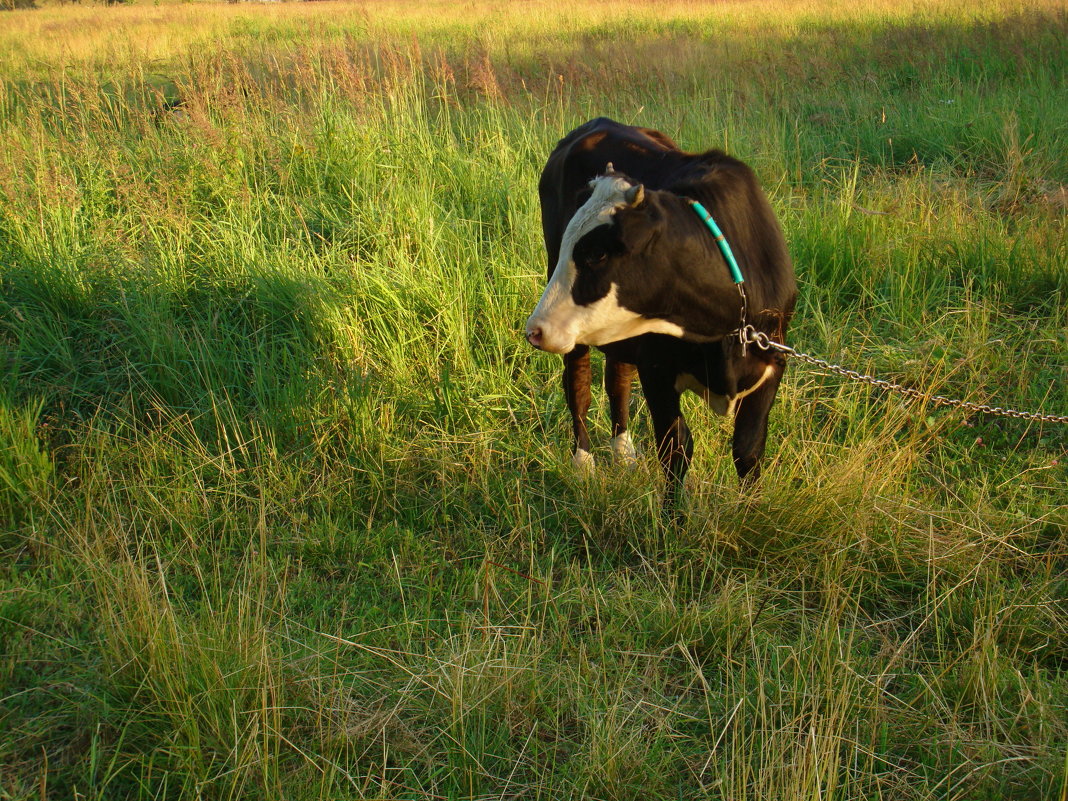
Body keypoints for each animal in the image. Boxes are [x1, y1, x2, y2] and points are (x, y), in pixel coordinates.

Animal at [529, 117, 798, 501]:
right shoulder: (656, 369)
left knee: (617, 379)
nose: (534, 330)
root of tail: (597, 124)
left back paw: (623, 454)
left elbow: (748, 450)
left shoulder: (772, 364)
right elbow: (675, 450)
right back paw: (583, 463)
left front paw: (751, 509)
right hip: (573, 333)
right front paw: (673, 516)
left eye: (597, 253)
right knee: (578, 384)